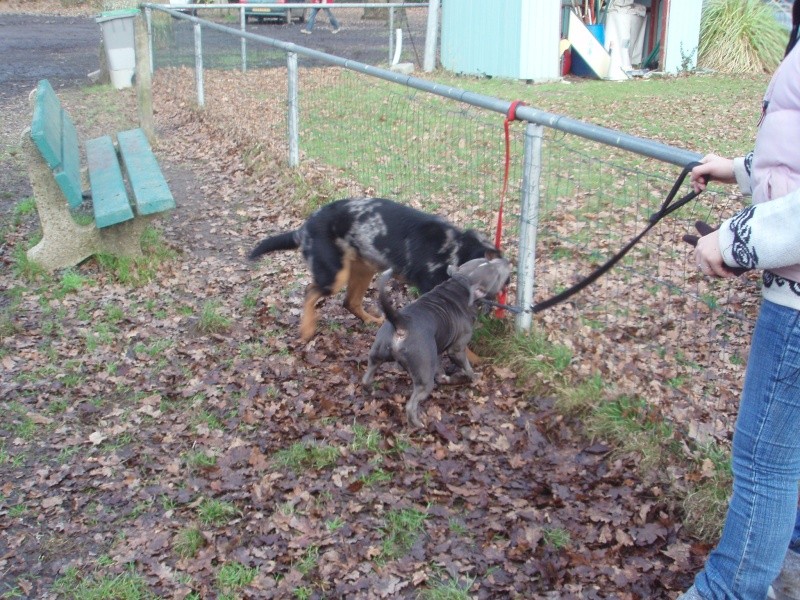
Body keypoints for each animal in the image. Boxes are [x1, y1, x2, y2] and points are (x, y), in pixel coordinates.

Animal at [250, 196, 500, 340]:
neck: (455, 250)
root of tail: (303, 228)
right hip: (335, 275)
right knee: (310, 292)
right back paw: (307, 330)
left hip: (364, 270)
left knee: (349, 301)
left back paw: (371, 320)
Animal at [360, 256, 510, 426]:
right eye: (496, 274)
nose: (506, 260)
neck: (462, 283)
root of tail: (401, 323)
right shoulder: (457, 349)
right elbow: (467, 366)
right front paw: (475, 378)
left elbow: (440, 369)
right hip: (424, 376)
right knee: (411, 405)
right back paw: (417, 424)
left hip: (377, 354)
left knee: (366, 378)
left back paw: (371, 390)